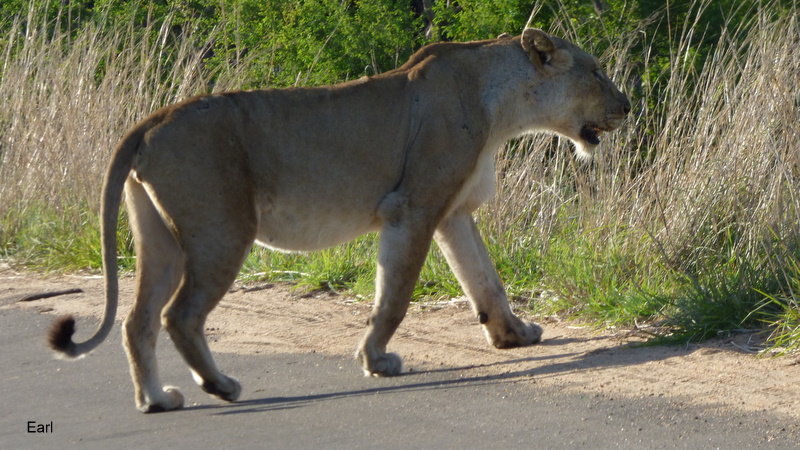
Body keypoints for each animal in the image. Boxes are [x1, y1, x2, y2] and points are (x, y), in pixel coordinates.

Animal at [49, 29, 630, 413]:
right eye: (598, 71)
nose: (627, 105)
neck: (503, 105)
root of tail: (151, 120)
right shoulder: (413, 207)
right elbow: (394, 295)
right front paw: (377, 359)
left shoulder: (453, 213)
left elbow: (486, 281)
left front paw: (515, 335)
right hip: (221, 231)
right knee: (180, 315)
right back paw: (221, 386)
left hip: (160, 239)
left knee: (139, 320)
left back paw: (158, 399)